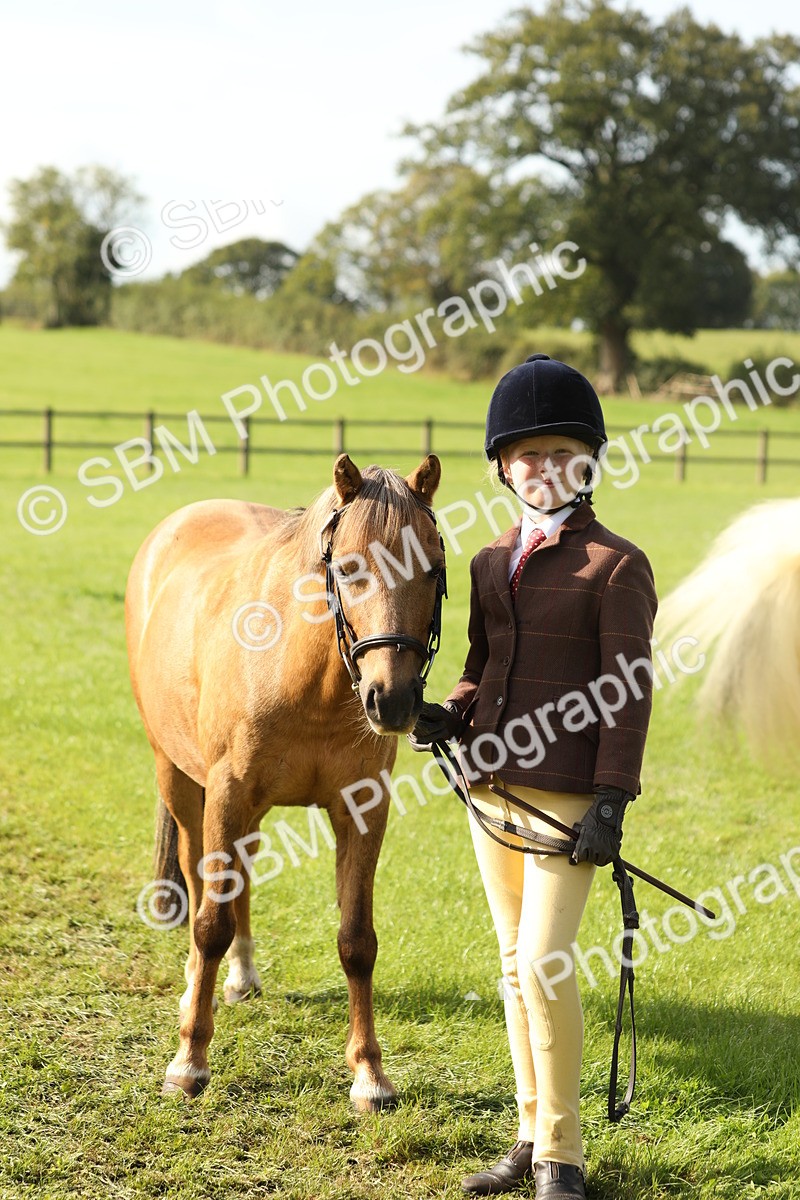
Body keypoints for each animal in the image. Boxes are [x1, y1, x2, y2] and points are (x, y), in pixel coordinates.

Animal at [125, 452, 446, 1106]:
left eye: (431, 567)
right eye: (348, 568)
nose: (393, 699)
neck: (303, 675)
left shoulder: (361, 810)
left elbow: (357, 940)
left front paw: (370, 1075)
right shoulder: (225, 795)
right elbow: (210, 923)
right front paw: (189, 1061)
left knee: (241, 878)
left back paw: (243, 976)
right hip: (181, 782)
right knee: (199, 881)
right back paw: (196, 989)